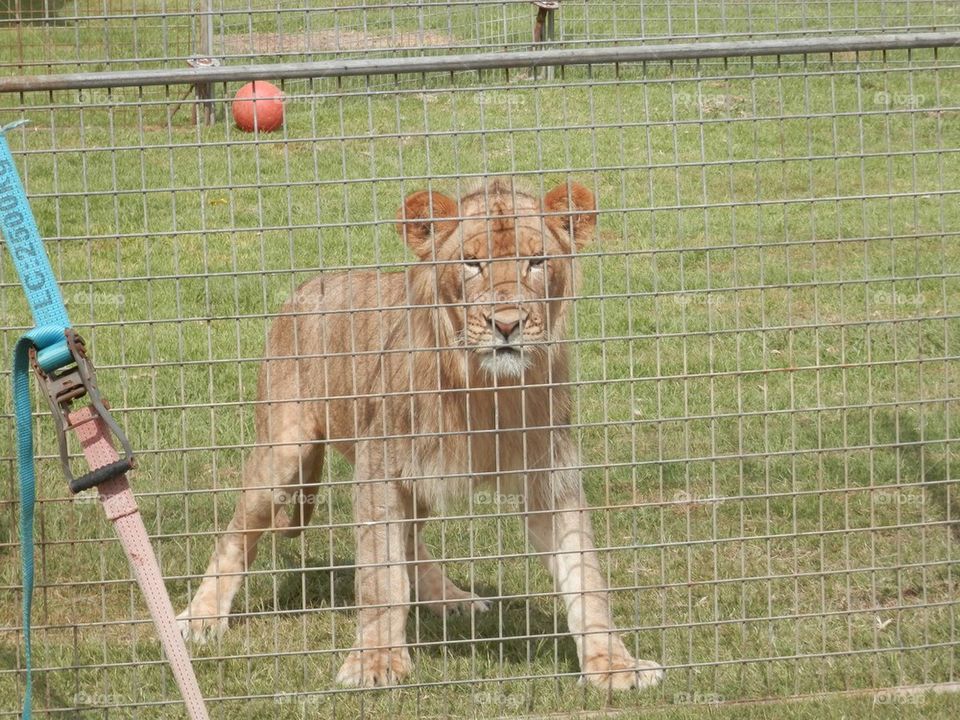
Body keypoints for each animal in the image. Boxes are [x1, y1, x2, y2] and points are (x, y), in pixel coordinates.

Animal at [177, 179, 664, 691]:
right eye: (472, 263)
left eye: (536, 261)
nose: (506, 325)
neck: (485, 391)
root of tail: (305, 287)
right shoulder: (380, 469)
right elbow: (381, 576)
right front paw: (375, 662)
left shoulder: (550, 477)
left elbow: (585, 575)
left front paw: (614, 665)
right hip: (284, 452)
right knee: (237, 532)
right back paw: (202, 616)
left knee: (411, 539)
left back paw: (450, 597)